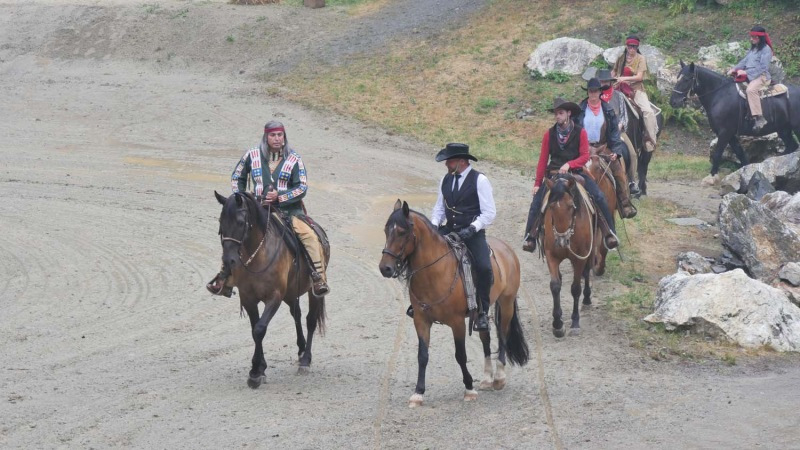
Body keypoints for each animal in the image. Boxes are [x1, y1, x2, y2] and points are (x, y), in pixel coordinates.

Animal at [214, 191, 329, 388]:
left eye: (240, 222)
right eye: (221, 222)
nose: (229, 261)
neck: (259, 254)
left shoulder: (274, 297)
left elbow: (260, 328)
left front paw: (255, 372)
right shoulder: (248, 298)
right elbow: (254, 329)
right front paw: (260, 368)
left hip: (313, 292)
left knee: (310, 320)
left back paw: (305, 360)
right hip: (290, 292)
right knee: (296, 314)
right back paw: (300, 350)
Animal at [378, 200, 529, 407]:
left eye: (401, 232)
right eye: (386, 230)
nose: (385, 268)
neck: (435, 273)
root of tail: (507, 248)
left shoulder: (457, 322)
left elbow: (460, 355)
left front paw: (469, 388)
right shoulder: (421, 320)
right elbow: (422, 356)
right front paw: (418, 393)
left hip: (506, 303)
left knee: (503, 336)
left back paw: (499, 377)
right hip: (481, 313)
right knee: (486, 338)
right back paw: (487, 378)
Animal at [541, 174, 596, 337]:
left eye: (572, 206)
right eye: (551, 206)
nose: (561, 241)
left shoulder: (579, 258)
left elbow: (575, 288)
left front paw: (575, 322)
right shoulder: (551, 255)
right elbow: (555, 285)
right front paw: (557, 324)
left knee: (587, 272)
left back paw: (587, 299)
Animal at [669, 61, 800, 179]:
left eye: (686, 79)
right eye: (678, 77)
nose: (673, 102)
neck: (719, 95)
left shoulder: (724, 133)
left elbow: (718, 154)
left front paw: (712, 176)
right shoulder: (730, 135)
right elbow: (740, 154)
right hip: (784, 130)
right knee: (791, 147)